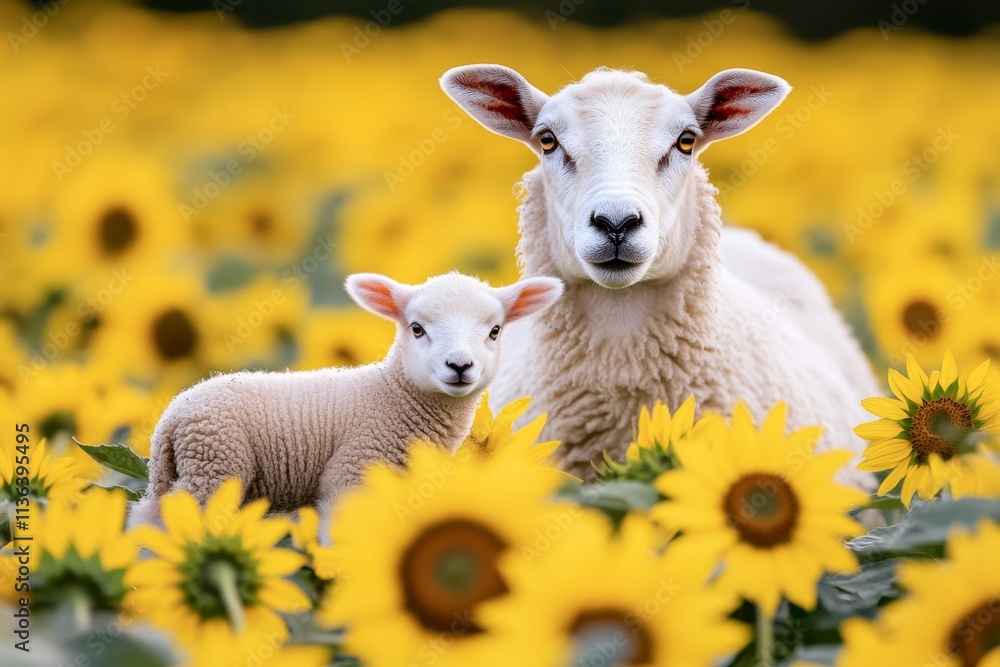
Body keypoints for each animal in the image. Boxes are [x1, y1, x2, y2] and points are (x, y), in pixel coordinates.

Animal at [128, 271, 565, 533]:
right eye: (417, 328)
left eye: (495, 331)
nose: (459, 366)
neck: (392, 395)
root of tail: (170, 419)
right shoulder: (351, 473)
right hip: (215, 465)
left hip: (185, 472)